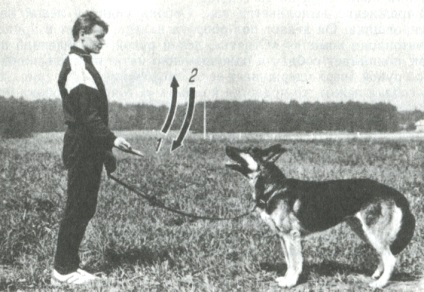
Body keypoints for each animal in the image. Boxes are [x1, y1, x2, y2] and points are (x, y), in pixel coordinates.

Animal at [225, 144, 414, 288]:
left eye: (248, 150)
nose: (226, 147)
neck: (274, 187)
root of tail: (391, 191)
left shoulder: (291, 236)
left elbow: (295, 263)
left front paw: (291, 282)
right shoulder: (282, 237)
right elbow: (288, 262)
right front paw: (286, 278)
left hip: (373, 233)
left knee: (390, 258)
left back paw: (380, 283)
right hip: (363, 231)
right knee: (384, 255)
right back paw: (377, 276)